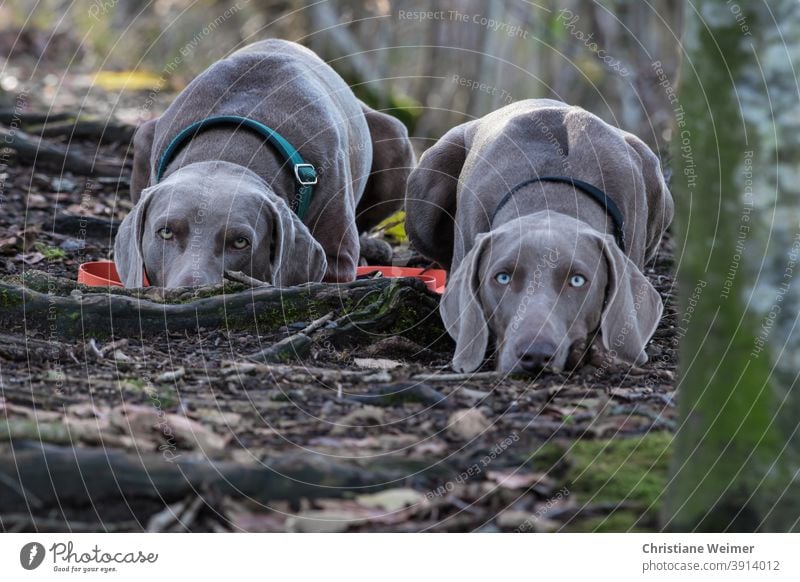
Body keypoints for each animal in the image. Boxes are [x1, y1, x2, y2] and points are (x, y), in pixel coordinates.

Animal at [115, 38, 416, 290]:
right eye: (165, 232)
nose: (192, 290)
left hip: (397, 140)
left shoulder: (337, 259)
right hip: (143, 135)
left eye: (240, 242)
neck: (228, 147)